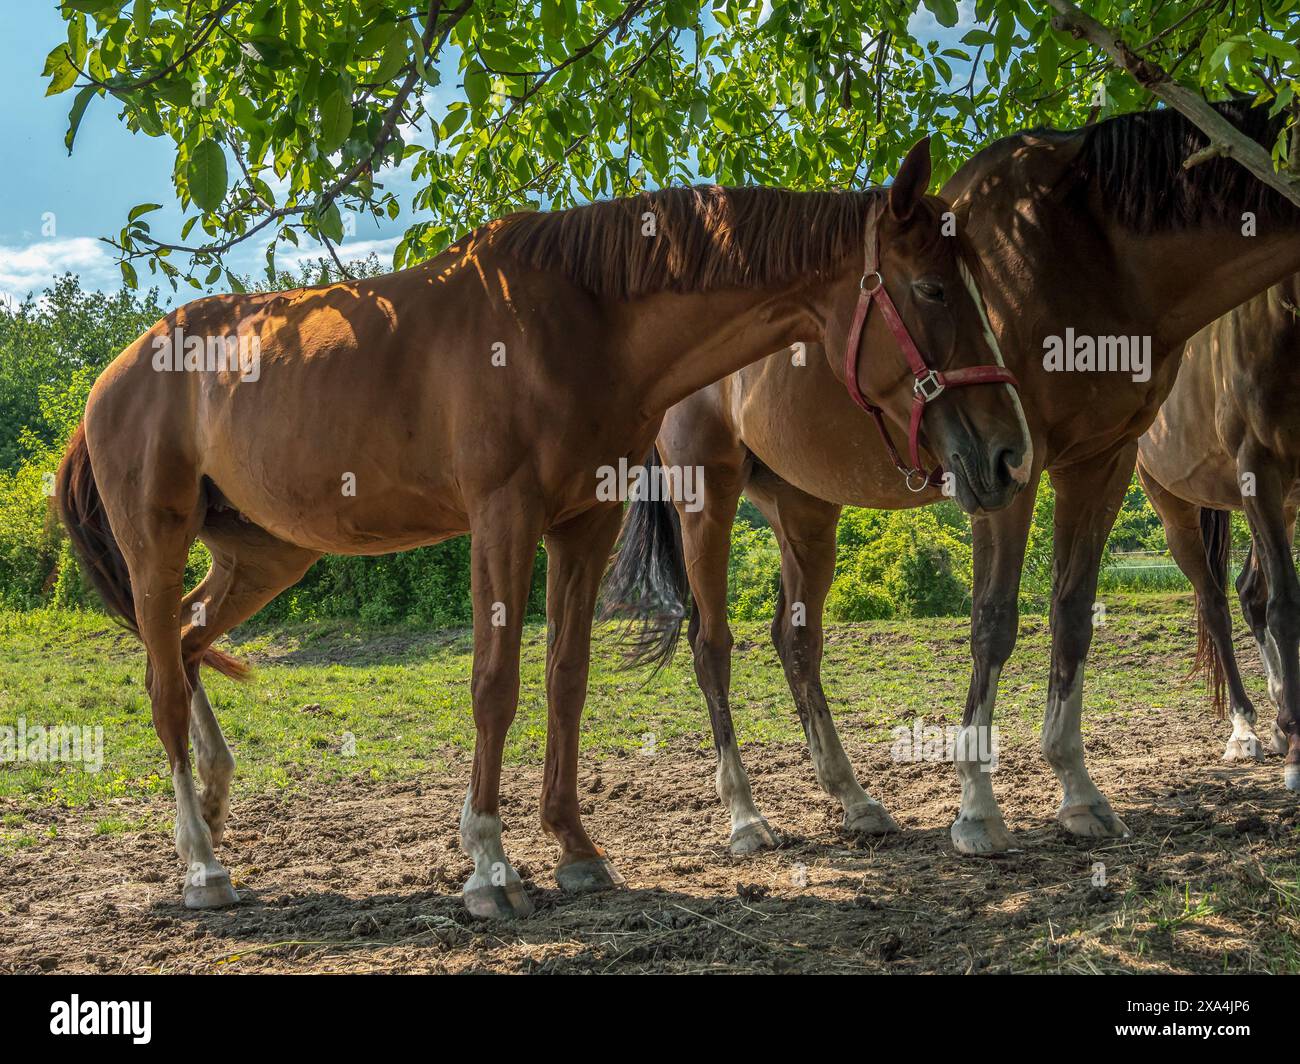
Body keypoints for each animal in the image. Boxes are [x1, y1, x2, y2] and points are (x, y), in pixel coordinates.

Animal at [55, 138, 1032, 918]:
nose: (1010, 453)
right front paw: (489, 864)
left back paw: (216, 805)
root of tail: (115, 374)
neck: (579, 318)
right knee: (162, 680)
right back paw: (201, 864)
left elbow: (566, 677)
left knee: (187, 642)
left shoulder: (584, 525)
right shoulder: (504, 518)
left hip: (263, 557)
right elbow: (496, 683)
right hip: (155, 544)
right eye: (932, 287)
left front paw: (575, 849)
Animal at [1137, 274, 1300, 777]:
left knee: (1250, 592)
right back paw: (1245, 727)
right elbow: (1286, 605)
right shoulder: (1259, 471)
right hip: (1177, 512)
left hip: (1285, 505)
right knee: (1217, 607)